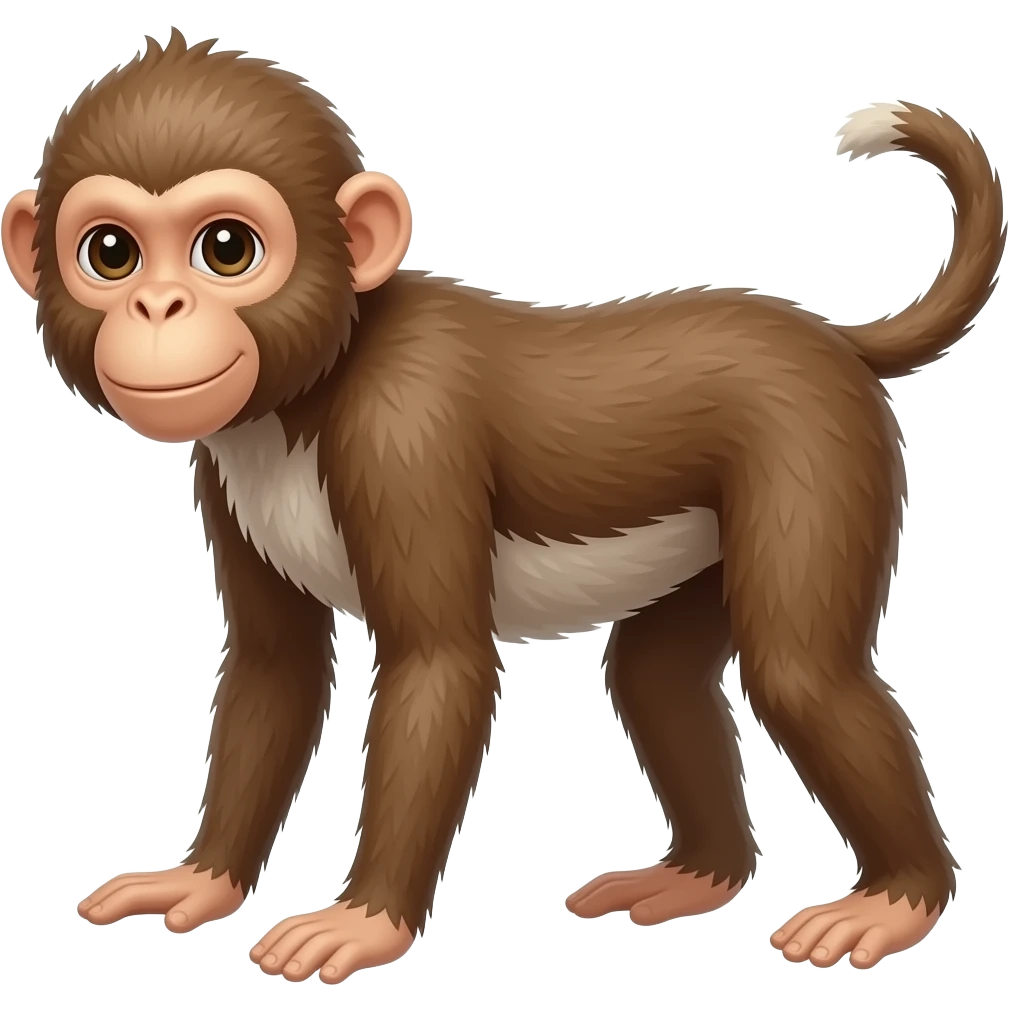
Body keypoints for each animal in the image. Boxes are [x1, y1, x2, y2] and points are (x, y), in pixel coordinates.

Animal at [3, 30, 1004, 984]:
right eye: (112, 253)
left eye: (225, 249)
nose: (158, 307)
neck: (313, 389)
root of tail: (831, 340)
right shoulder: (223, 467)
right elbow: (275, 670)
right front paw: (202, 879)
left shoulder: (406, 433)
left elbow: (439, 665)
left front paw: (364, 922)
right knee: (655, 675)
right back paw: (698, 875)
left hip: (815, 454)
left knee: (801, 672)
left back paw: (901, 898)